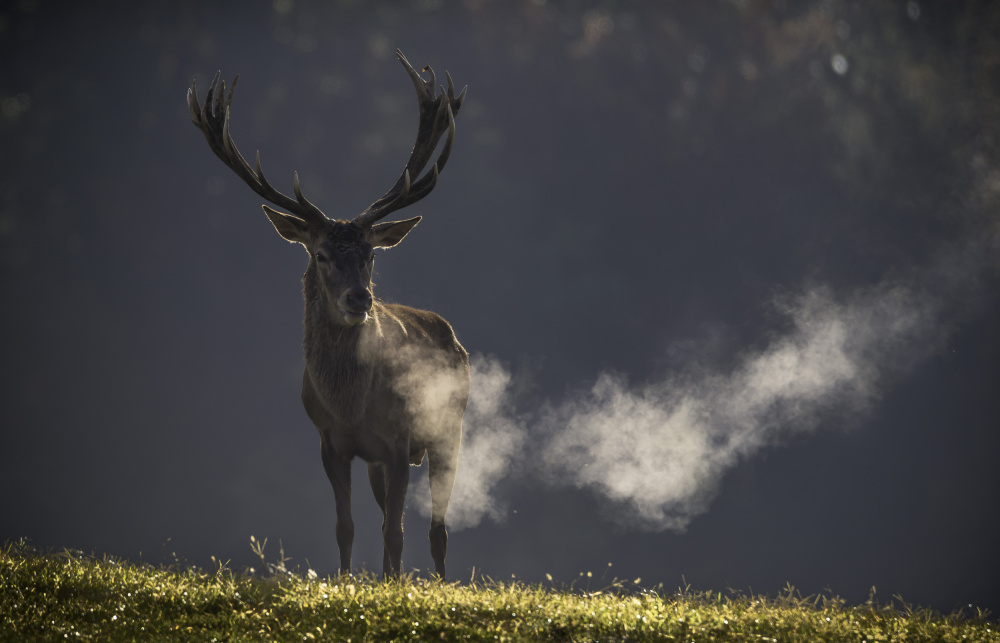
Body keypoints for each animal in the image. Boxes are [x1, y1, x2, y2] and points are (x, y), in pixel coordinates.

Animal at [189, 52, 470, 580]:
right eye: (320, 255)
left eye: (372, 255)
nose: (360, 300)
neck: (350, 403)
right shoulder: (330, 441)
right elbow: (348, 526)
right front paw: (348, 583)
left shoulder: (400, 440)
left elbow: (398, 531)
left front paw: (394, 588)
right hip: (383, 460)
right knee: (391, 519)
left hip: (449, 427)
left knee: (437, 528)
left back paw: (438, 583)